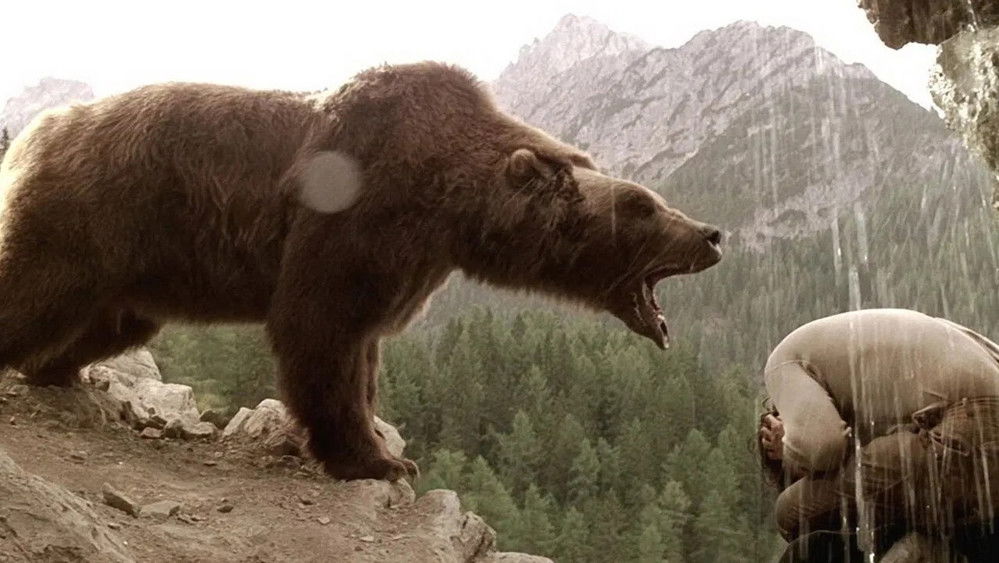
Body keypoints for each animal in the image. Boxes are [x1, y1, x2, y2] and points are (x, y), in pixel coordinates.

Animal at [0, 62, 722, 481]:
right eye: (642, 205)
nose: (712, 234)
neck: (454, 206)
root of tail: (41, 126)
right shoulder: (355, 208)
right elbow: (321, 328)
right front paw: (373, 459)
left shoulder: (410, 259)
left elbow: (364, 344)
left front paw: (384, 439)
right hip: (95, 216)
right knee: (33, 289)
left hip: (140, 268)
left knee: (106, 324)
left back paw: (61, 371)